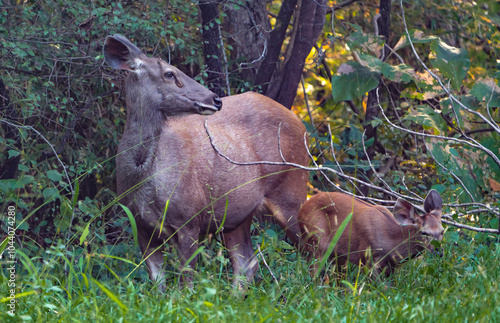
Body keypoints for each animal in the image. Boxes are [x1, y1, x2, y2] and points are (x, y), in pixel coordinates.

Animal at [103, 34, 308, 290]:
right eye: (169, 73)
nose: (216, 99)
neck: (145, 180)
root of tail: (301, 123)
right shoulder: (140, 225)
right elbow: (157, 283)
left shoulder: (189, 218)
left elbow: (186, 283)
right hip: (237, 215)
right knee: (246, 263)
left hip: (291, 192)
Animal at [298, 191, 444, 280]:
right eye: (424, 232)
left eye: (442, 231)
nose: (439, 251)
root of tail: (303, 206)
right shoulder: (368, 258)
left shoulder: (390, 266)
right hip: (316, 241)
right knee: (314, 272)